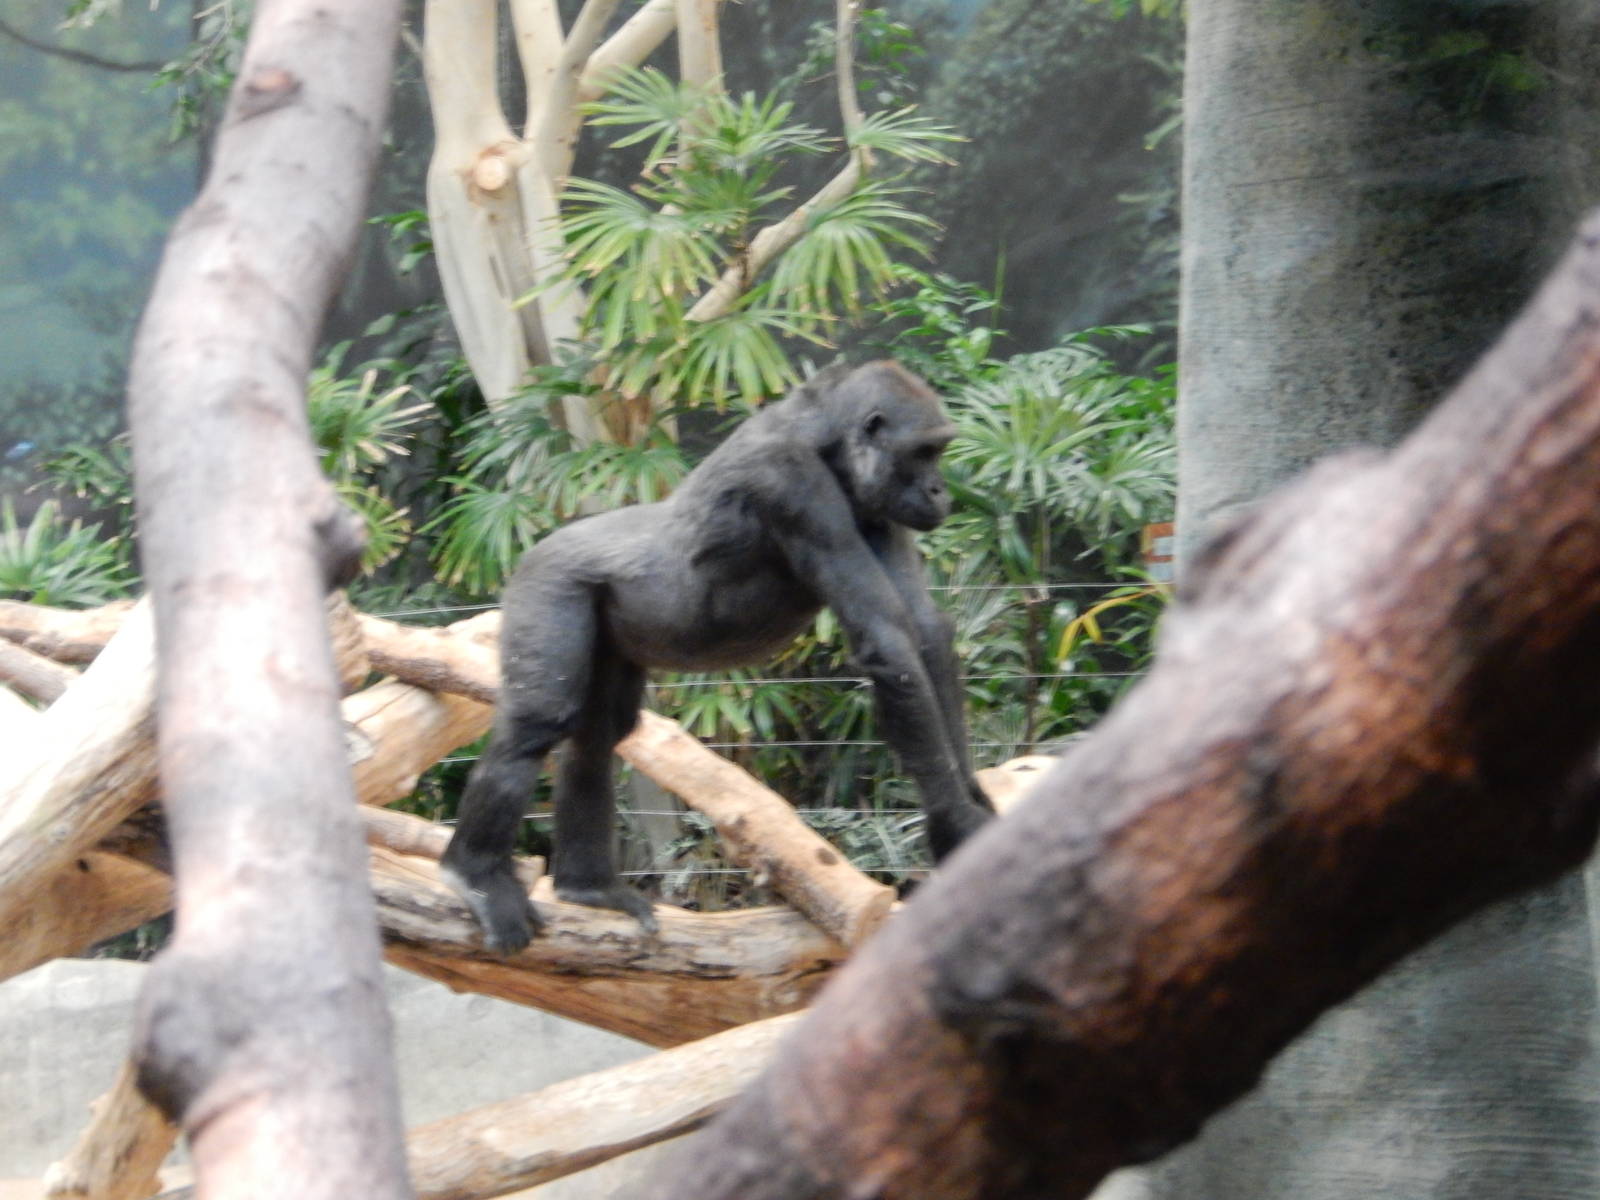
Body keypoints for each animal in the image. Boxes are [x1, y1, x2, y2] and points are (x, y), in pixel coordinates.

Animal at [440, 360, 995, 951]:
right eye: (923, 451)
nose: (939, 491)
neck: (822, 435)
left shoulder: (881, 507)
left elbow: (925, 633)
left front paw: (973, 801)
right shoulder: (790, 482)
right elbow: (889, 643)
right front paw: (955, 826)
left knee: (597, 735)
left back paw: (586, 887)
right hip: (547, 579)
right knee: (537, 722)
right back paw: (475, 875)